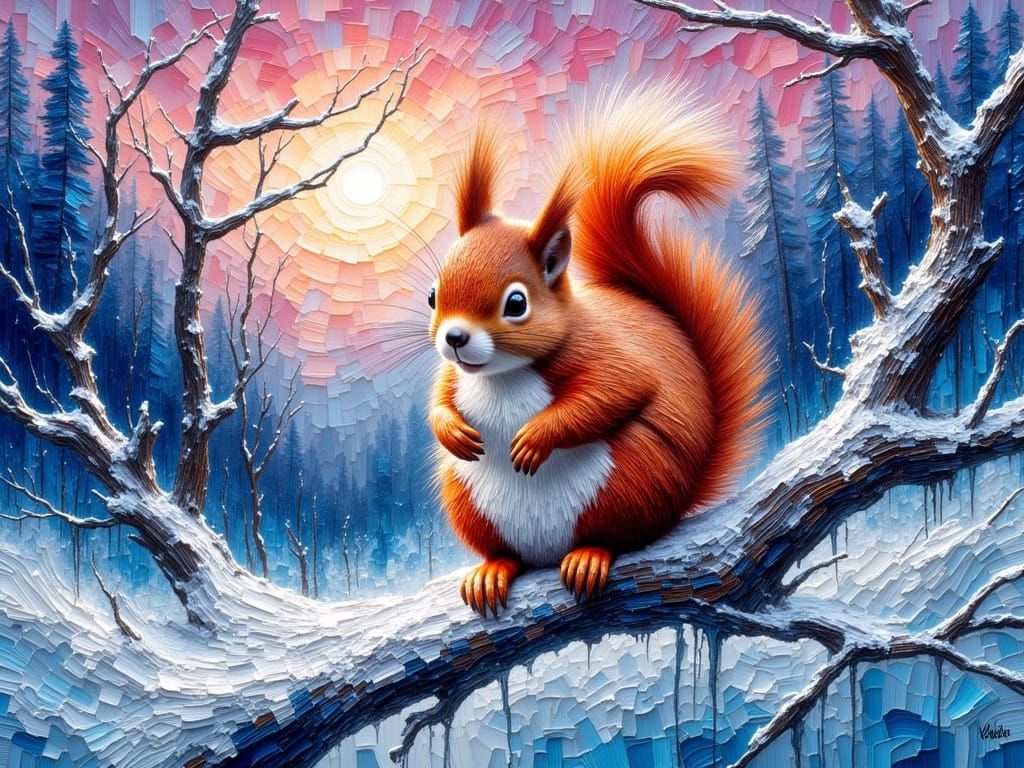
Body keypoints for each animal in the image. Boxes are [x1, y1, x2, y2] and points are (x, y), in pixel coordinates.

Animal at [427, 86, 769, 617]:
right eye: (433, 295)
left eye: (516, 304)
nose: (455, 338)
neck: (503, 374)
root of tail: (547, 553)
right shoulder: (454, 376)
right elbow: (439, 401)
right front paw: (451, 430)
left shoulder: (604, 352)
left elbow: (617, 390)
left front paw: (535, 438)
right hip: (468, 500)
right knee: (505, 553)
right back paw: (492, 570)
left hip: (629, 479)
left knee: (616, 537)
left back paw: (589, 556)